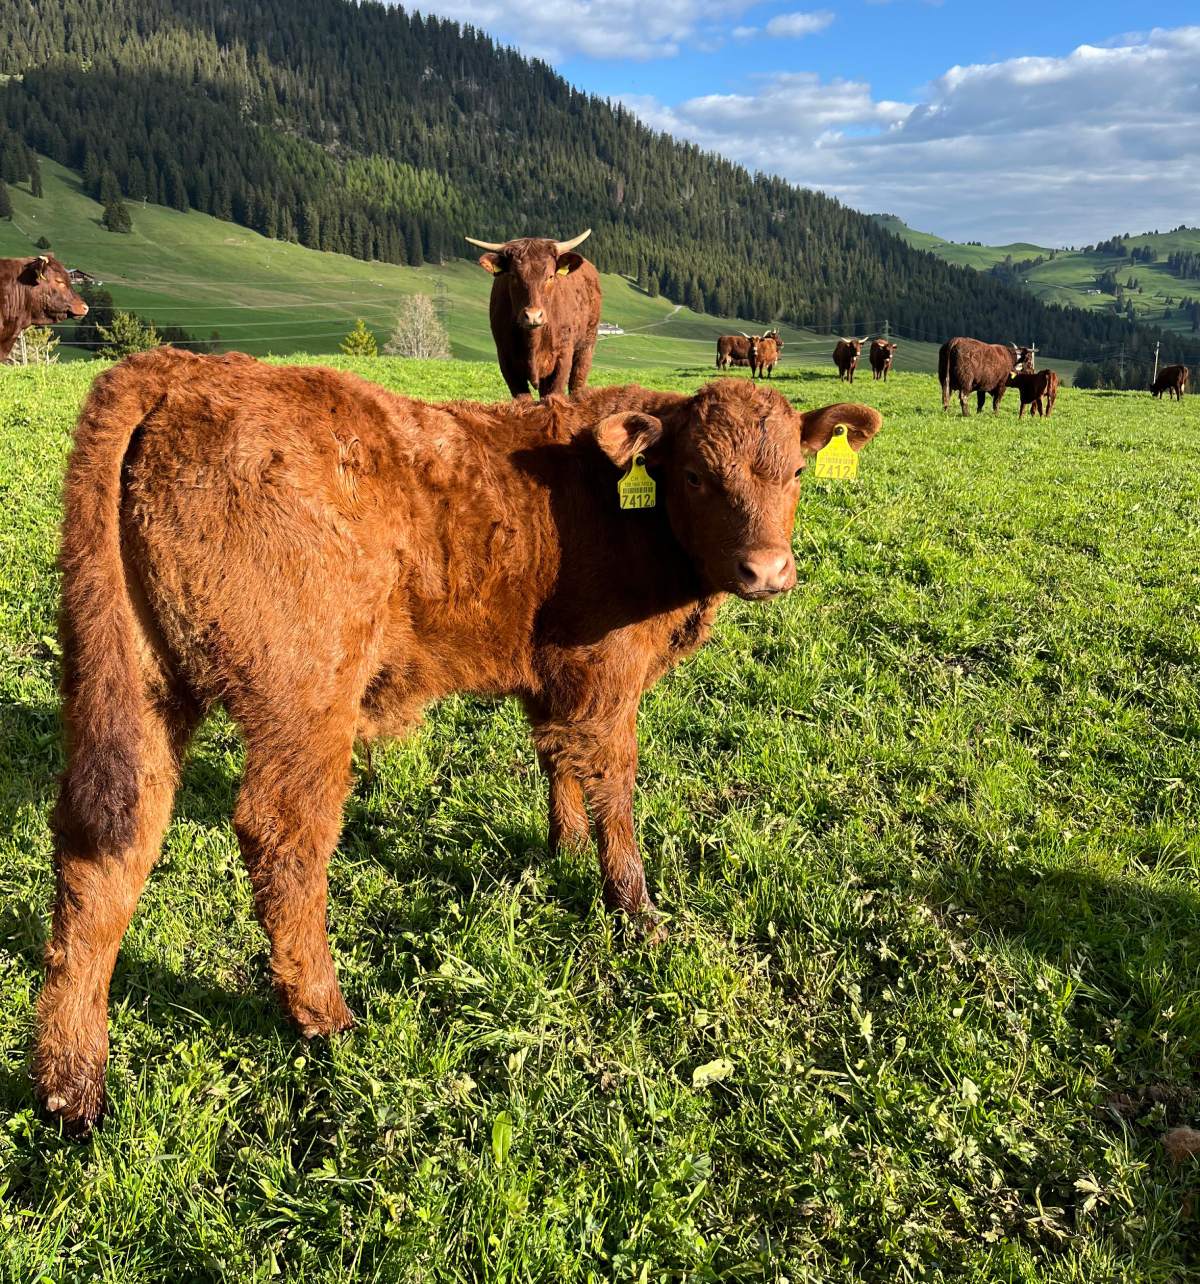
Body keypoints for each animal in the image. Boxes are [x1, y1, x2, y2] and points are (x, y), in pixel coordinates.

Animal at [33, 348, 883, 1132]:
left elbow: (556, 760)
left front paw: (561, 849)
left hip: (137, 682)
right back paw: (324, 1016)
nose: (767, 569)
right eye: (699, 476)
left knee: (107, 846)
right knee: (283, 839)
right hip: (306, 698)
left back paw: (71, 1086)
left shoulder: (553, 678)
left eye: (797, 470)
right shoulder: (605, 678)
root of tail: (181, 368)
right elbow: (615, 787)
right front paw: (636, 911)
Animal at [466, 231, 600, 399]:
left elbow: (555, 393)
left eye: (550, 276)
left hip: (587, 344)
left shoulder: (563, 356)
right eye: (513, 276)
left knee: (577, 382)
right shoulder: (506, 360)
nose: (533, 316)